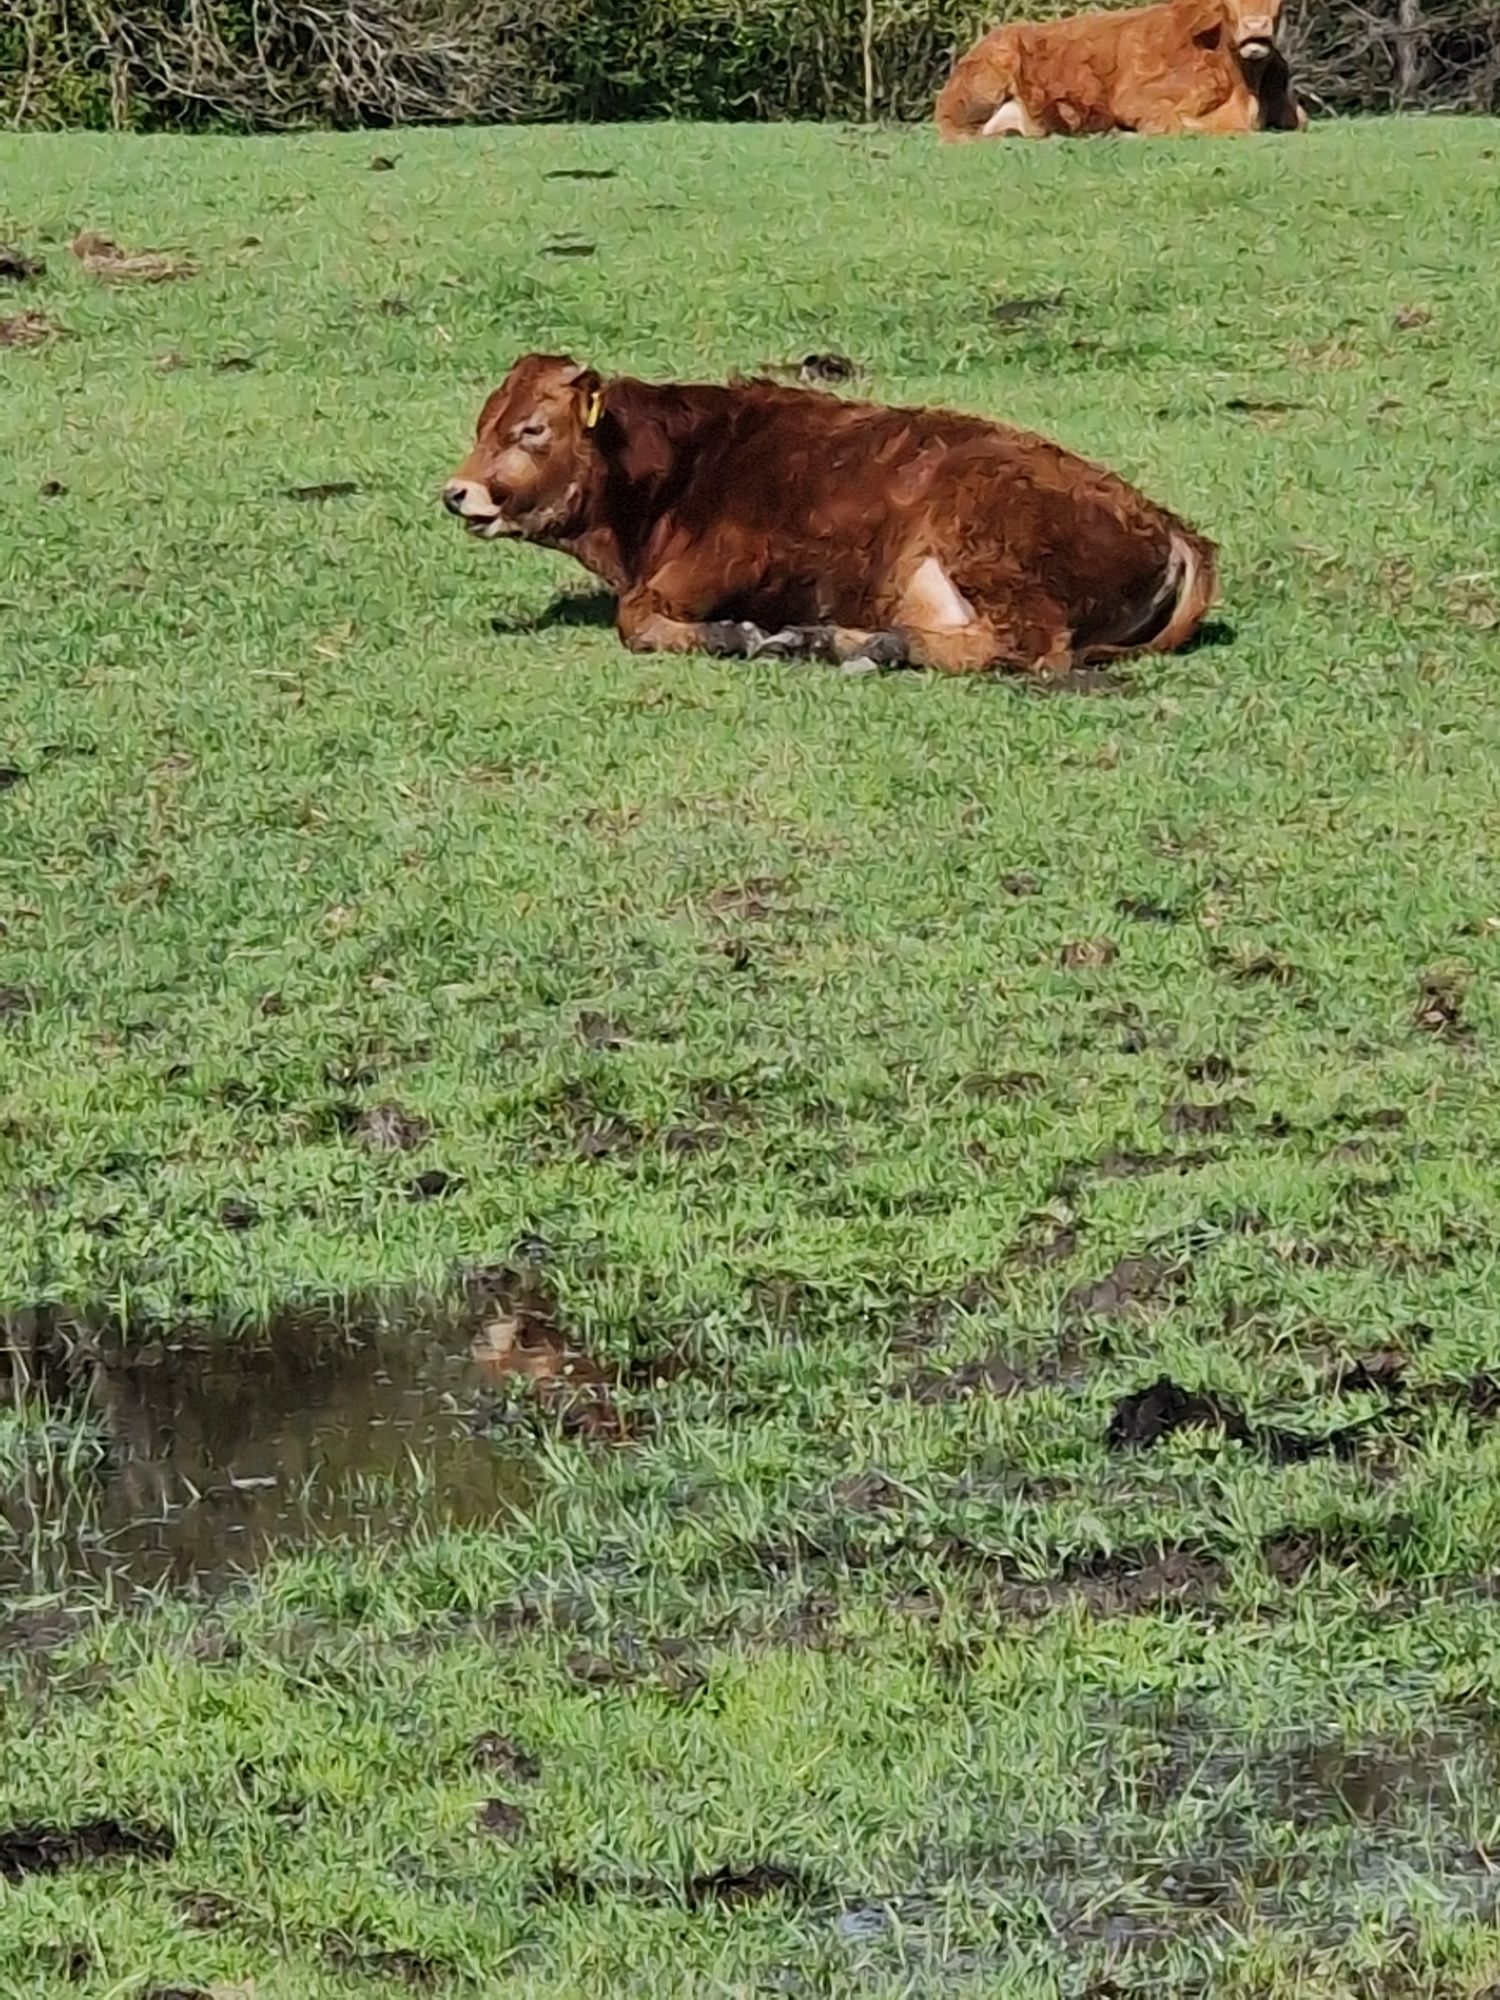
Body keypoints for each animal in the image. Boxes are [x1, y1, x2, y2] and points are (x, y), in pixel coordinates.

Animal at [446, 356, 1224, 676]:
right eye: (483, 422)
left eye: (531, 430)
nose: (457, 491)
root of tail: (1169, 522)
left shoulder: (736, 554)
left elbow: (635, 619)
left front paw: (732, 635)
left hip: (990, 548)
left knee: (1028, 647)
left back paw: (864, 645)